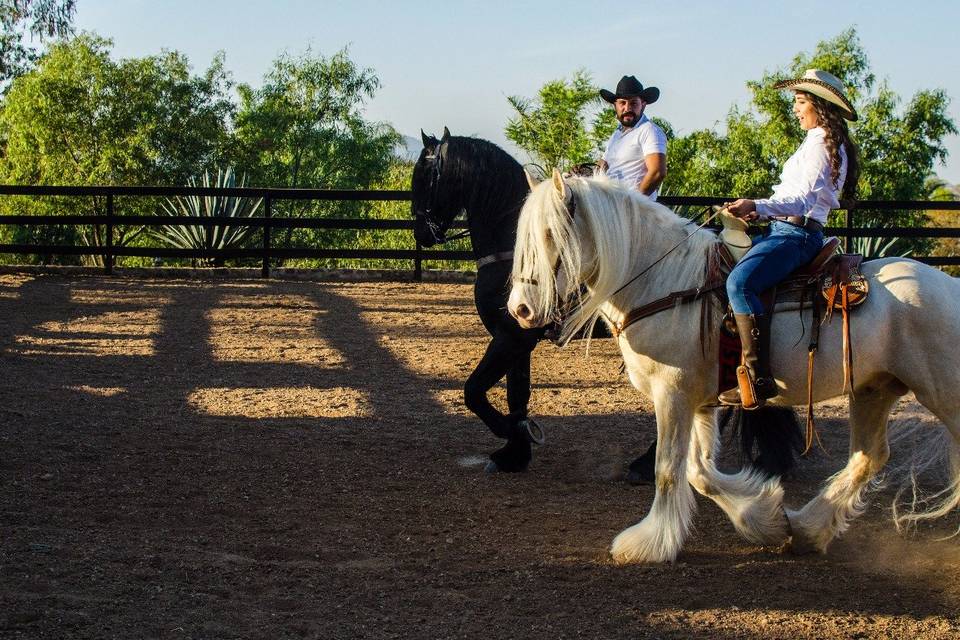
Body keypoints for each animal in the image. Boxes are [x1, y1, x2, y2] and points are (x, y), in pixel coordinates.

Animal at [408, 126, 800, 480]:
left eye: (424, 177)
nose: (422, 233)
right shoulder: (518, 336)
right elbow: (517, 393)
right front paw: (514, 452)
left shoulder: (511, 338)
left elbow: (474, 391)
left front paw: (512, 435)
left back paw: (648, 465)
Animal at [512, 171, 960, 564]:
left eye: (551, 235)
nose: (520, 309)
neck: (666, 283)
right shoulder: (700, 402)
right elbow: (698, 472)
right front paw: (765, 518)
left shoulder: (672, 394)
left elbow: (668, 470)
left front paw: (648, 545)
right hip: (874, 389)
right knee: (869, 457)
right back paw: (807, 529)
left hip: (941, 394)